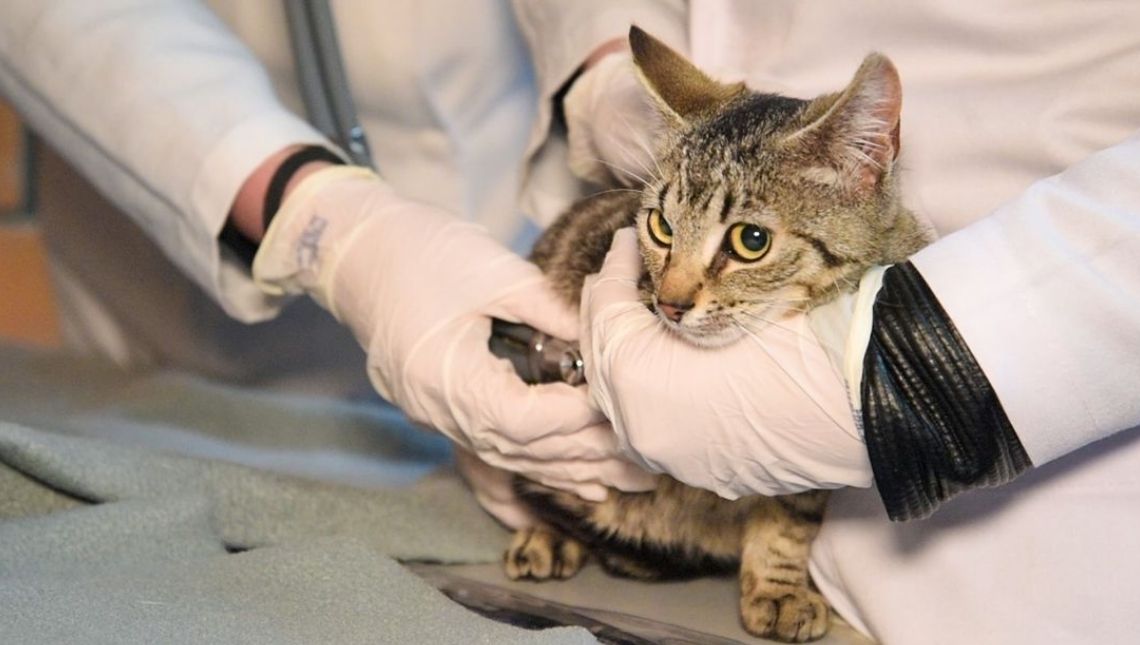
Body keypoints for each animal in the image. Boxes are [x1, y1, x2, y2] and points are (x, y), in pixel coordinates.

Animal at [503, 27, 930, 642]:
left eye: (751, 240)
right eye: (660, 225)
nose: (670, 304)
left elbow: (789, 519)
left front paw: (778, 587)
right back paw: (548, 534)